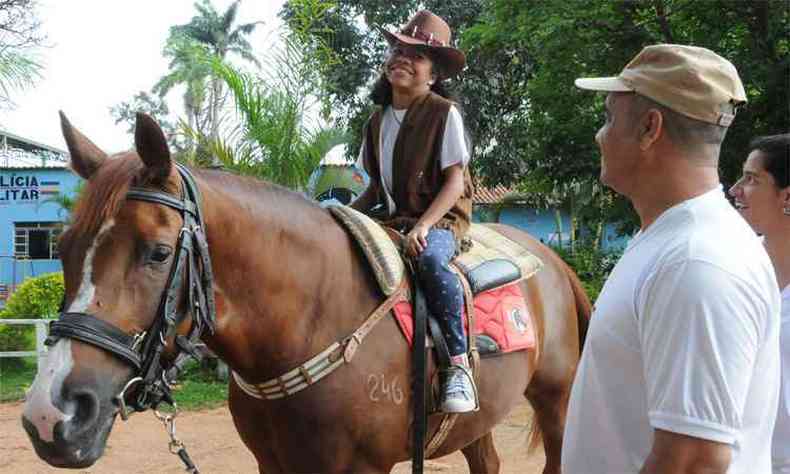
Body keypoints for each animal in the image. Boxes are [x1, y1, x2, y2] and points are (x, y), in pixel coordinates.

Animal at [21, 114, 588, 474]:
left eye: (158, 253)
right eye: (63, 248)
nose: (51, 416)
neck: (310, 323)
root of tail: (556, 261)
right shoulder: (273, 464)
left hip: (557, 398)